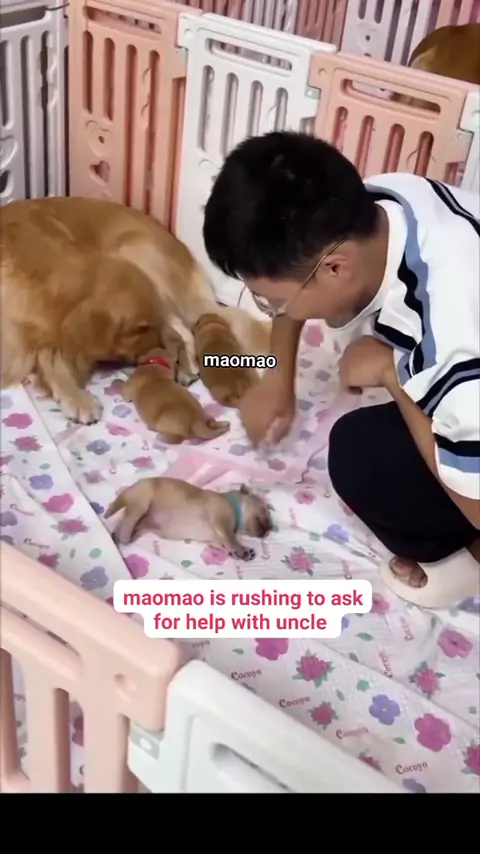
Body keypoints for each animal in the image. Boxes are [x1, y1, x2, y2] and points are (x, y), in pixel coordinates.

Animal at [104, 477, 272, 560]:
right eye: (264, 510)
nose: (269, 529)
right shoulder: (222, 521)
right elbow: (231, 539)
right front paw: (240, 549)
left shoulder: (217, 539)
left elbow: (225, 544)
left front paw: (238, 552)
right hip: (141, 502)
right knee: (128, 518)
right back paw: (123, 535)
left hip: (141, 522)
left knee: (123, 522)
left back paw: (116, 535)